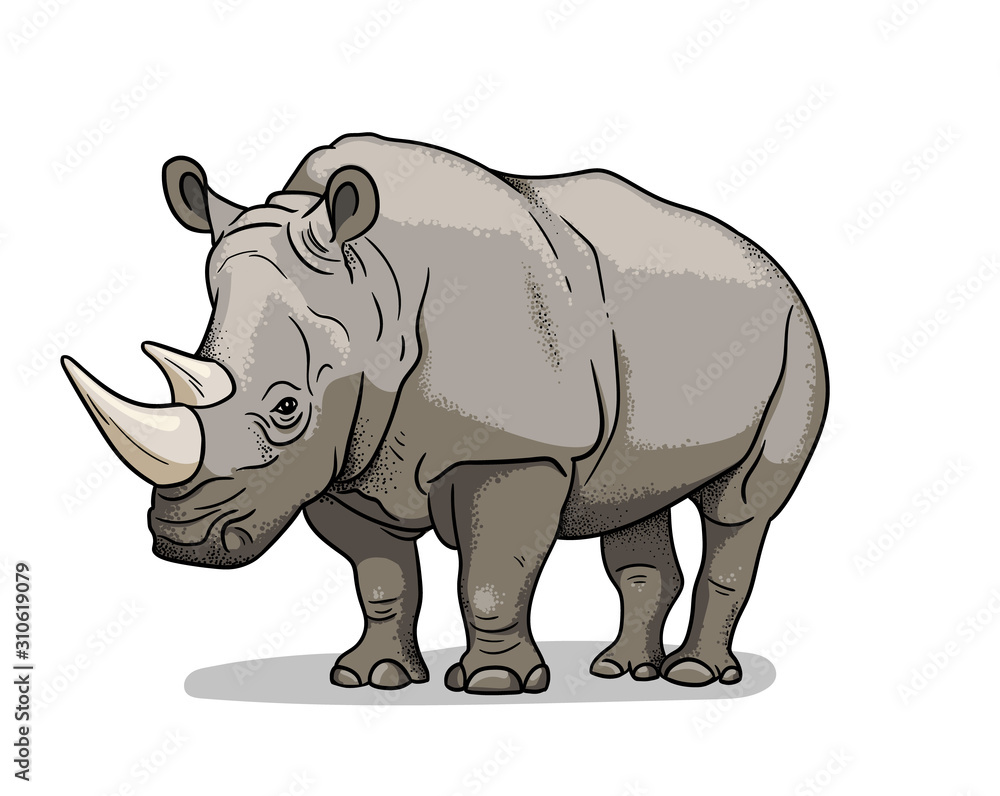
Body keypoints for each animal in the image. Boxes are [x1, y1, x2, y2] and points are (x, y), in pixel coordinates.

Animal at [63, 133, 828, 694]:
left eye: (286, 408)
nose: (179, 542)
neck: (375, 289)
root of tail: (770, 261)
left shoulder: (516, 447)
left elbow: (491, 575)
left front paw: (493, 686)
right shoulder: (345, 462)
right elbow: (381, 578)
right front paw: (372, 678)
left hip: (798, 335)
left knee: (741, 506)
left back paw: (696, 675)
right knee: (635, 498)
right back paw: (621, 671)